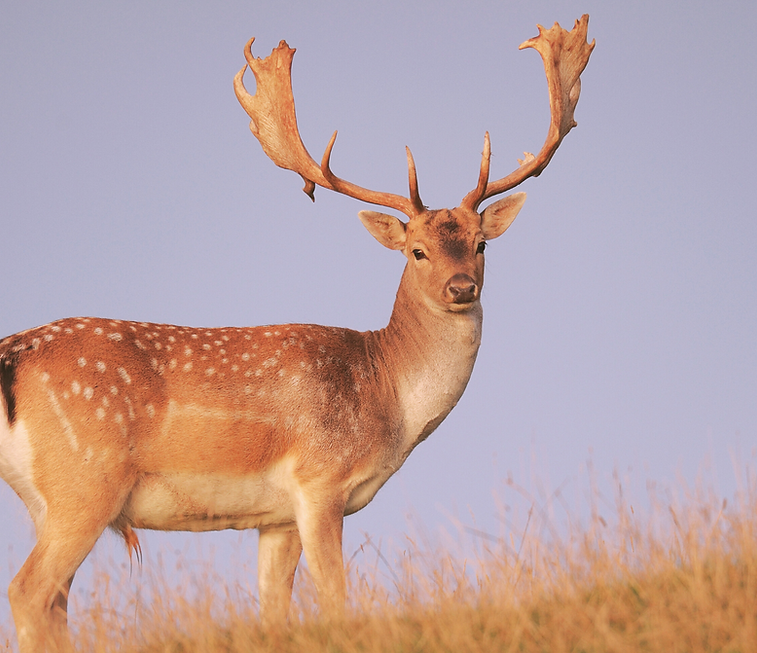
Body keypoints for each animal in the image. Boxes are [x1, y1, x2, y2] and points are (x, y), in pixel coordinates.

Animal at [0, 16, 593, 652]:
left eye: (481, 244)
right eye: (417, 250)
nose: (461, 287)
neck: (386, 395)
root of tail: (12, 355)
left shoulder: (276, 518)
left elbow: (274, 613)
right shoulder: (319, 482)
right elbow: (335, 597)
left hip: (50, 500)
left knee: (55, 601)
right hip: (84, 483)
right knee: (29, 590)